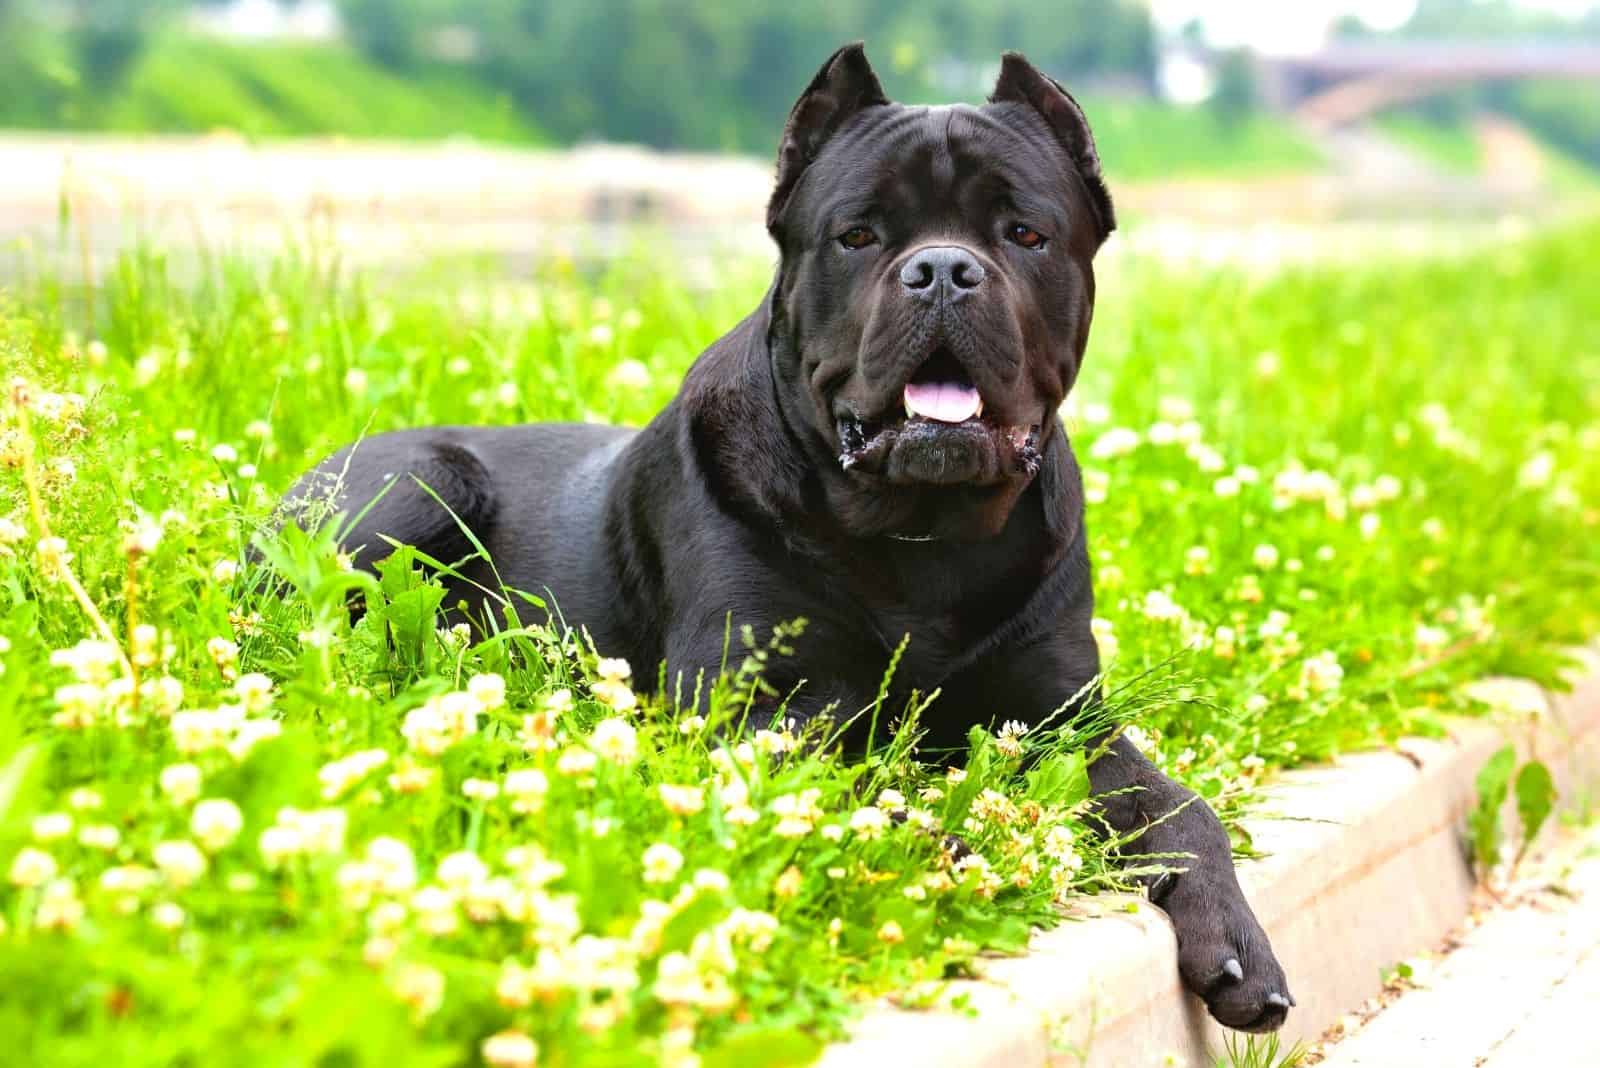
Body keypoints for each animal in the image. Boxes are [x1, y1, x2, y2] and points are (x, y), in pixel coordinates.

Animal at [281, 45, 1292, 1029]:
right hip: (419, 485)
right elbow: (860, 790)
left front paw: (1239, 943)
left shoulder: (1061, 716)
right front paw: (953, 843)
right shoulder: (754, 709)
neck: (923, 538)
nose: (942, 270)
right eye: (859, 236)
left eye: (1024, 234)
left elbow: (1179, 804)